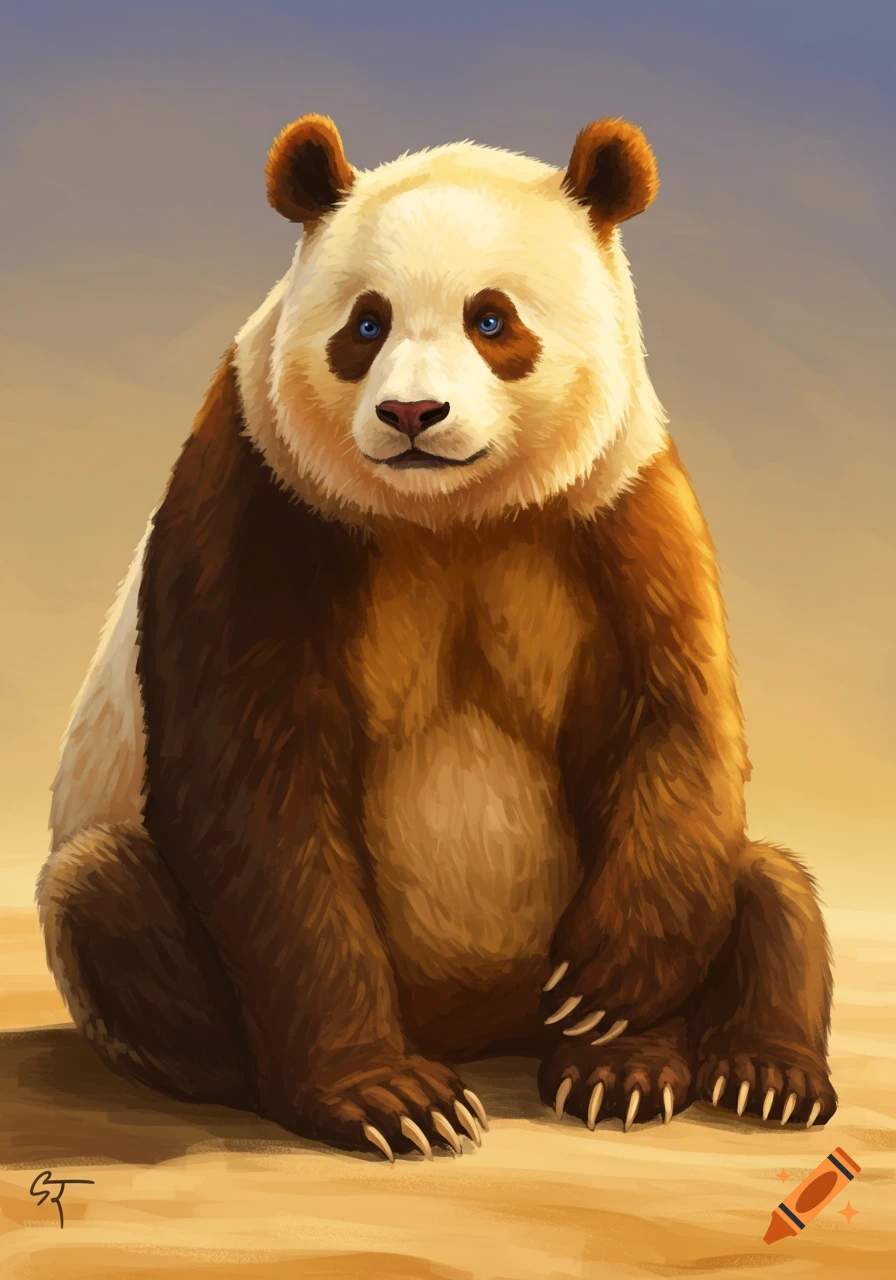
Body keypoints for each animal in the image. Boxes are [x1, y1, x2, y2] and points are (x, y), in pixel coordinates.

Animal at [39, 113, 836, 1161]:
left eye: (491, 320)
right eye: (365, 324)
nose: (412, 414)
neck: (452, 515)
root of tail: (481, 1021)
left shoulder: (617, 504)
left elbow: (671, 721)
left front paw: (606, 1004)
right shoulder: (261, 495)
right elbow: (254, 782)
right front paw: (392, 1100)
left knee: (768, 884)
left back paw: (702, 1070)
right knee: (102, 893)